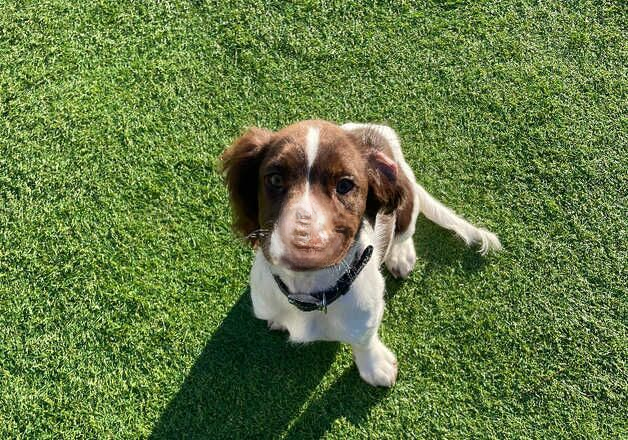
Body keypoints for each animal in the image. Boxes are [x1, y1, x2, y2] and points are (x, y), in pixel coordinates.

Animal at [221, 119, 500, 384]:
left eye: (345, 185)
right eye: (275, 179)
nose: (303, 236)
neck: (309, 292)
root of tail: (376, 130)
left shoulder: (367, 314)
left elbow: (364, 341)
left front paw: (375, 367)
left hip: (408, 203)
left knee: (405, 232)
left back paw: (400, 255)